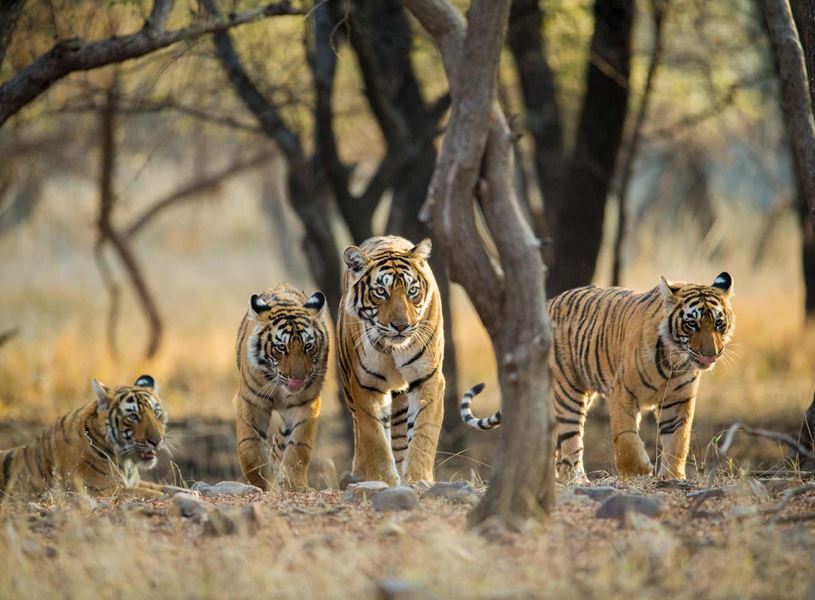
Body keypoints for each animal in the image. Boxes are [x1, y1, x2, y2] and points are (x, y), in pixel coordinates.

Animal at [0, 375, 168, 499]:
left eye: (156, 413)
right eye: (133, 416)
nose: (157, 441)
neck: (127, 463)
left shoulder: (135, 483)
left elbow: (167, 487)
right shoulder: (104, 489)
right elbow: (155, 493)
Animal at [234, 283, 328, 490]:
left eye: (308, 346)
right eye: (281, 348)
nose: (298, 379)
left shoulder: (306, 404)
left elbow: (299, 447)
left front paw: (293, 485)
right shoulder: (251, 401)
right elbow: (249, 447)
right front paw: (262, 483)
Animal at [338, 235, 445, 486]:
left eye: (412, 291)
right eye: (380, 292)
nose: (401, 326)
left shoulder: (428, 378)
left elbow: (423, 433)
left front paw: (418, 479)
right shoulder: (365, 385)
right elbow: (374, 438)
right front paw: (383, 480)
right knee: (361, 432)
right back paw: (359, 474)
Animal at [461, 272, 736, 482]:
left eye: (718, 323)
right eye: (692, 324)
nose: (711, 354)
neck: (674, 360)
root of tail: (548, 303)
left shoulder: (678, 401)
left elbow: (678, 440)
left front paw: (672, 476)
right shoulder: (623, 393)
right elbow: (625, 438)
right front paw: (638, 471)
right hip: (568, 392)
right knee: (570, 442)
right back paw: (577, 480)